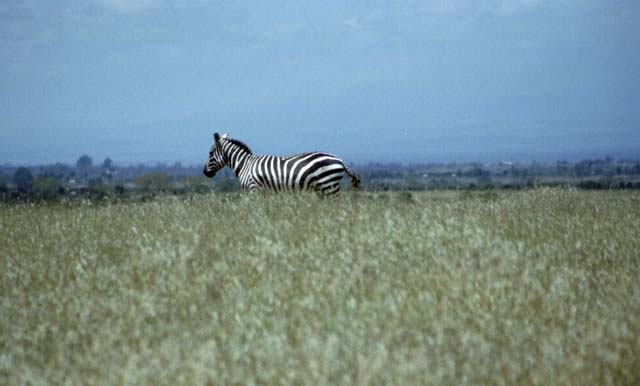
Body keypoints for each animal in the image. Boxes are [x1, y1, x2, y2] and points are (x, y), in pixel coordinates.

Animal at [202, 133, 360, 195]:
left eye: (210, 153)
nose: (204, 172)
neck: (245, 165)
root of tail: (340, 160)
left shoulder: (254, 189)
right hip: (324, 187)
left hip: (329, 185)